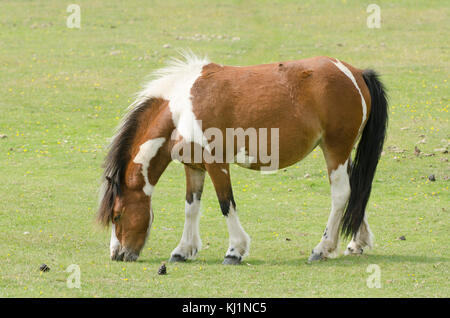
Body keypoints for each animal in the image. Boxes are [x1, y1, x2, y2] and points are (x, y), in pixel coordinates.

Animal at [97, 53, 386, 264]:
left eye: (117, 216)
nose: (117, 255)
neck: (181, 108)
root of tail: (356, 73)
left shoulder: (217, 164)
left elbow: (226, 203)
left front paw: (235, 251)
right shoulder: (194, 166)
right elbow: (191, 207)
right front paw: (183, 250)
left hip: (336, 149)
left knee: (341, 194)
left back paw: (322, 248)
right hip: (340, 151)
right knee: (355, 191)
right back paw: (355, 242)